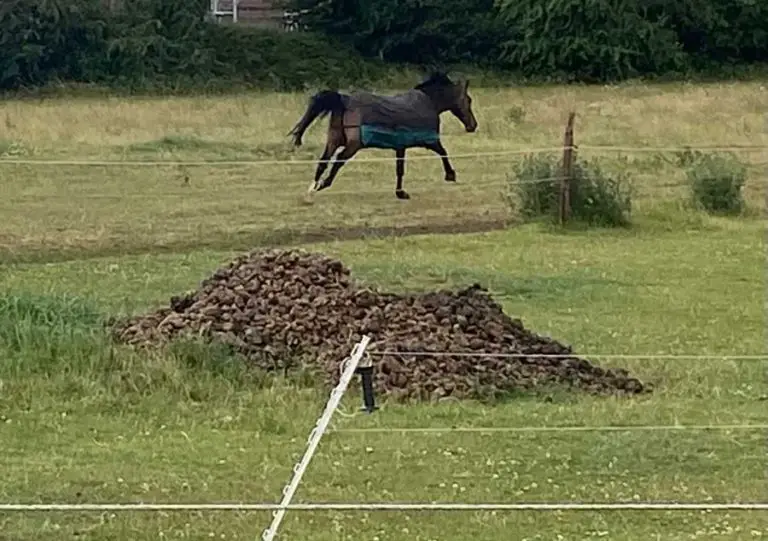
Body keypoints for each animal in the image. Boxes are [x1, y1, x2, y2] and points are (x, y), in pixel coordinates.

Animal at [287, 72, 478, 200]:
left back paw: (312, 188)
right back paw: (323, 184)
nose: (473, 125)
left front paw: (401, 193)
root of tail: (344, 100)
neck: (429, 102)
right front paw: (450, 175)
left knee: (323, 161)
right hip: (353, 145)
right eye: (468, 100)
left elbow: (400, 169)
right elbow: (443, 152)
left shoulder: (400, 146)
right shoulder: (429, 140)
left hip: (334, 140)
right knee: (338, 160)